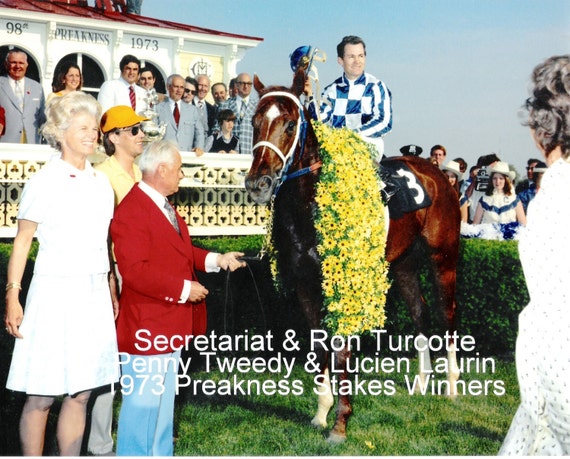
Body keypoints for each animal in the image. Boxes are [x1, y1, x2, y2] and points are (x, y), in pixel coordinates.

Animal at [243, 71, 458, 442]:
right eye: (255, 122)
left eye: (289, 124)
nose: (259, 183)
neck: (308, 208)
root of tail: (436, 173)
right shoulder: (306, 283)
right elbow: (319, 346)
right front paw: (321, 413)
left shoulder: (343, 282)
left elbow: (342, 350)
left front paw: (340, 424)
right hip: (403, 264)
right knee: (420, 312)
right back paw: (421, 382)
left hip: (443, 258)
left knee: (448, 312)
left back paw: (453, 386)